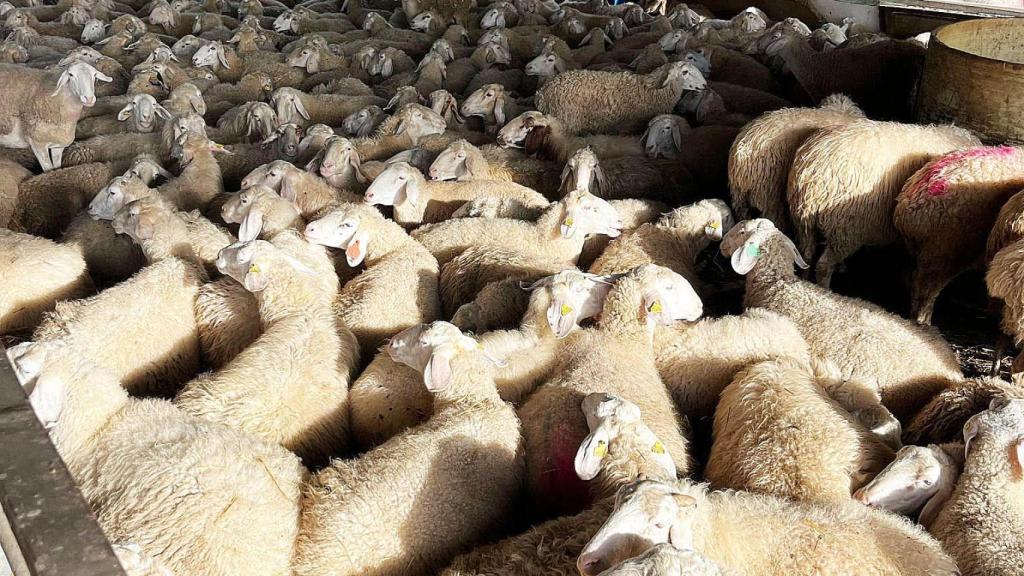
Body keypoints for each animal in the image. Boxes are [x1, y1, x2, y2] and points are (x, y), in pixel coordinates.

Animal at [787, 119, 979, 287]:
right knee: (824, 265)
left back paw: (806, 277)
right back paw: (825, 289)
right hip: (845, 226)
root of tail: (813, 169)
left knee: (806, 254)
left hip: (804, 221)